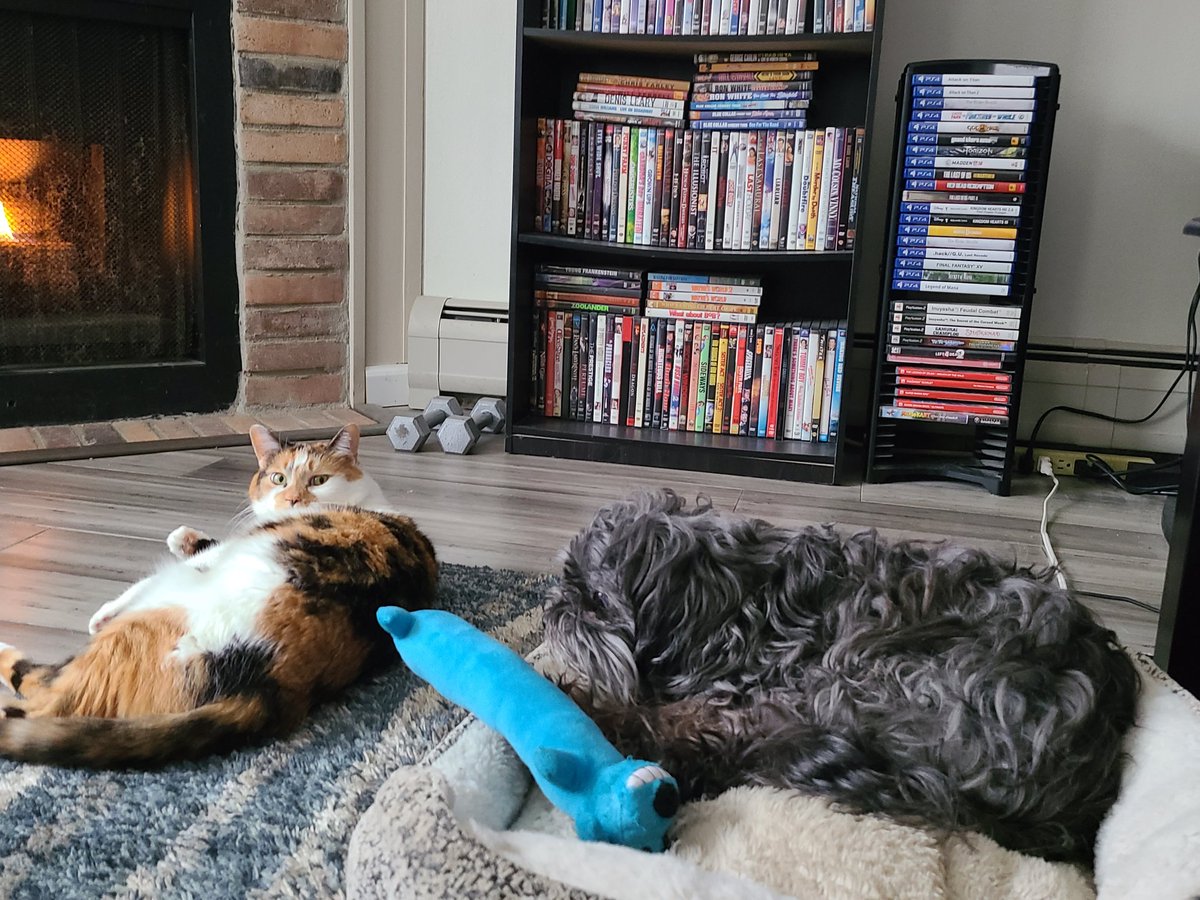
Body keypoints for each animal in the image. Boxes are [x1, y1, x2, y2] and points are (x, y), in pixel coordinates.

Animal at [0, 427, 436, 772]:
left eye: (318, 479)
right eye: (278, 478)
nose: (293, 500)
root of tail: (271, 683)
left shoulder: (217, 555)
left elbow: (163, 572)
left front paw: (104, 611)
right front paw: (183, 536)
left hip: (167, 606)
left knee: (43, 690)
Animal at [547, 494, 1142, 868]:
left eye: (594, 598)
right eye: (565, 580)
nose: (554, 604)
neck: (737, 603)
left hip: (859, 678)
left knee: (712, 746)